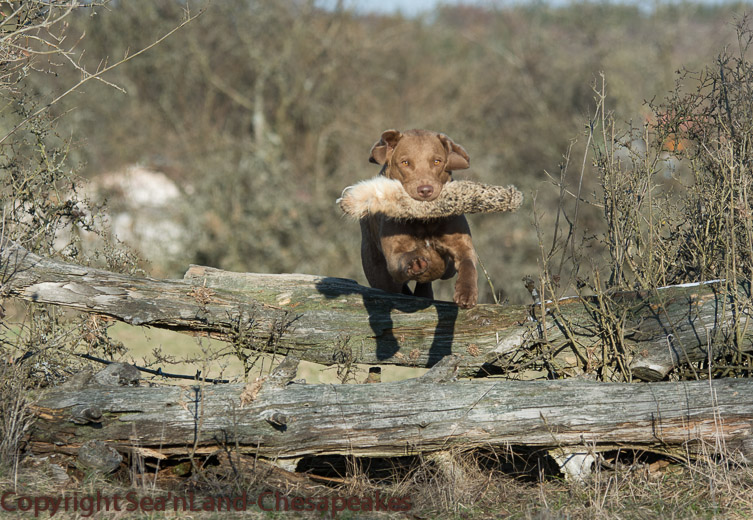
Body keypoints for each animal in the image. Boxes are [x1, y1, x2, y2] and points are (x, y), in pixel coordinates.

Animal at [358, 130, 476, 308]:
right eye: (405, 163)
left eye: (437, 161)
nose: (425, 190)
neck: (423, 220)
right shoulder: (394, 257)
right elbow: (404, 257)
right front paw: (418, 263)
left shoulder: (461, 244)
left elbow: (468, 263)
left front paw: (466, 294)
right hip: (378, 272)